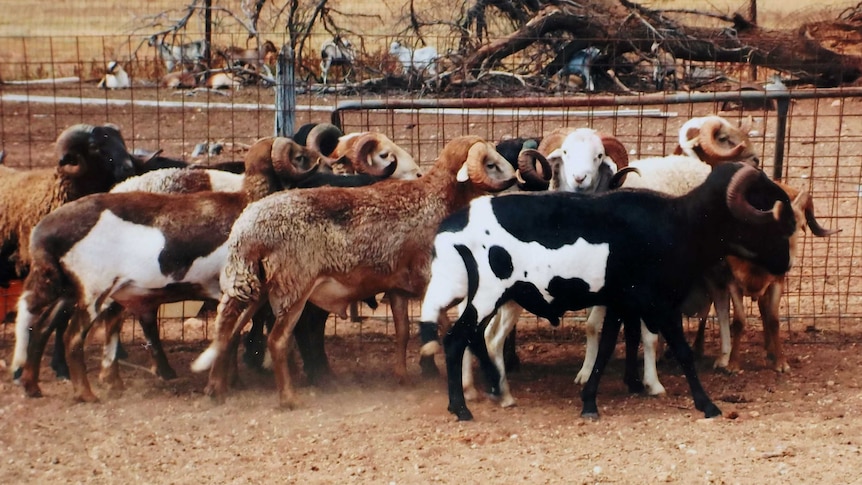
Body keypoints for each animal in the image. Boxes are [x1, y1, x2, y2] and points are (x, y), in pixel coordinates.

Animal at [9, 136, 328, 400]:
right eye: (299, 156)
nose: (322, 160)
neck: (246, 202)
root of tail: (46, 230)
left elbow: (232, 335)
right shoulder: (231, 290)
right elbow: (231, 335)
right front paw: (227, 384)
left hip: (69, 289)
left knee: (41, 326)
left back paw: (33, 385)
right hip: (93, 292)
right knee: (71, 337)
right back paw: (85, 394)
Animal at [194, 134, 520, 406]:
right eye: (490, 163)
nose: (516, 178)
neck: (437, 200)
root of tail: (248, 229)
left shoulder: (397, 286)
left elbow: (403, 331)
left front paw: (403, 376)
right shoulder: (429, 280)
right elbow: (445, 328)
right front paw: (462, 384)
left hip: (250, 285)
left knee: (227, 329)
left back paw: (216, 389)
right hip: (292, 288)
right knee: (276, 340)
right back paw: (287, 398)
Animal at [422, 163, 800, 420]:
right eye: (764, 202)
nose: (785, 262)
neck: (680, 224)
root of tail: (451, 227)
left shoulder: (621, 302)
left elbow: (605, 349)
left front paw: (590, 402)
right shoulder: (659, 303)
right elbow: (681, 351)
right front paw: (707, 405)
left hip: (493, 296)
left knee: (476, 339)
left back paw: (498, 392)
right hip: (488, 293)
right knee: (457, 340)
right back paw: (461, 408)